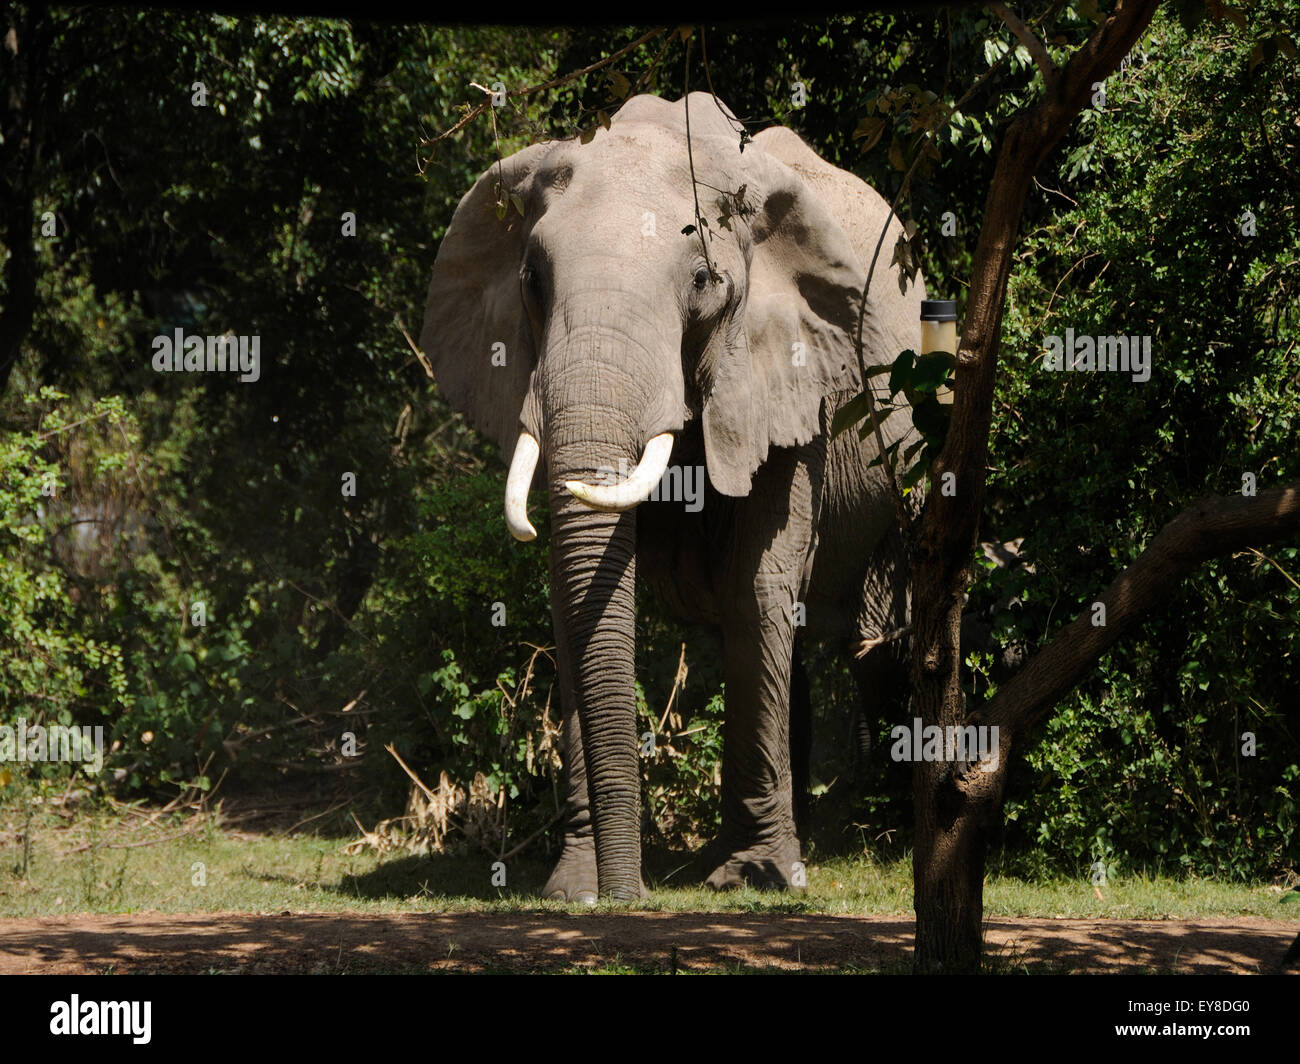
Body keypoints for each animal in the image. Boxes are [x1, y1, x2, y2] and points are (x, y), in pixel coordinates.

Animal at [418, 95, 925, 900]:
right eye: (531, 277)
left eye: (703, 281)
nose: (629, 896)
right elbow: (572, 604)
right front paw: (576, 889)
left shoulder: (792, 373)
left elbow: (758, 587)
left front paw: (753, 879)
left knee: (874, 632)